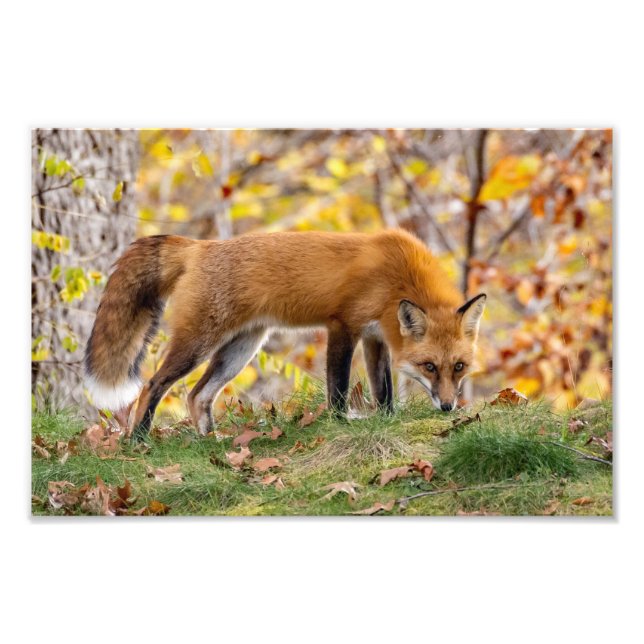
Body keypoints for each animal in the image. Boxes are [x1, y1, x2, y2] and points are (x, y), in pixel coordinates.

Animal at [85, 229, 486, 440]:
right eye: (430, 367)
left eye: (459, 367)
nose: (448, 407)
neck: (398, 275)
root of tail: (200, 246)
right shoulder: (343, 325)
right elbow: (338, 388)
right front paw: (341, 423)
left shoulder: (377, 336)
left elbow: (383, 390)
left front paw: (386, 418)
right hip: (199, 343)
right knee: (153, 385)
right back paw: (139, 439)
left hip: (240, 349)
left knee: (198, 395)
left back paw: (211, 441)